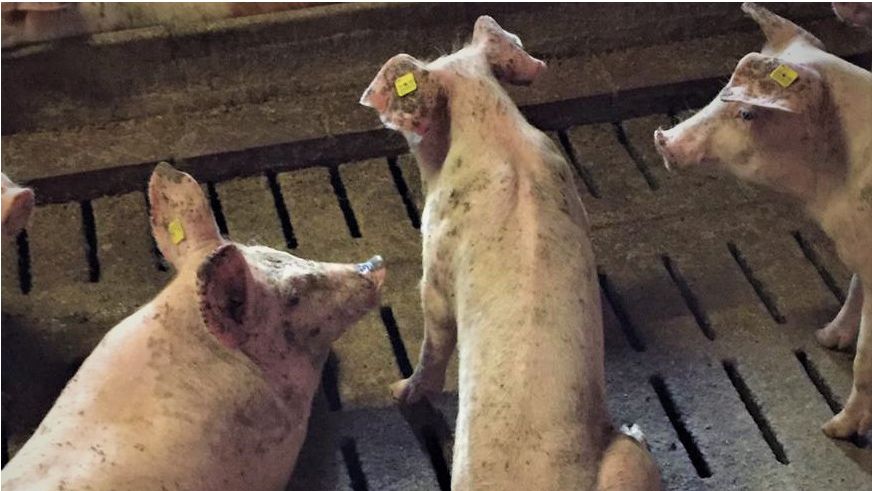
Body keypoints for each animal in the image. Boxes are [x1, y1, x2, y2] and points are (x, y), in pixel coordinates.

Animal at [654, 3, 872, 439]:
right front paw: (825, 338)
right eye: (721, 90)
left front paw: (834, 430)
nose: (663, 140)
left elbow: (865, 361)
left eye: (747, 112)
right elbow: (853, 295)